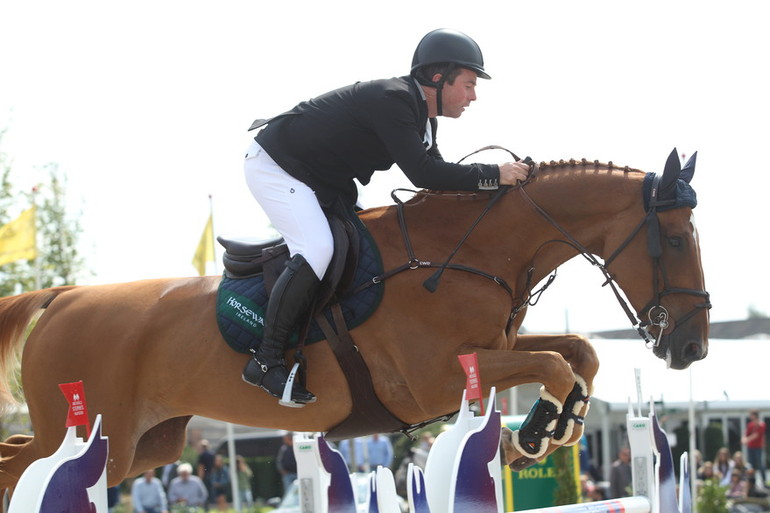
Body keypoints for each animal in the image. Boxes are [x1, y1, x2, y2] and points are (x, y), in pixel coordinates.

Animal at [0, 147, 708, 488]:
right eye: (675, 240)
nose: (692, 350)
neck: (469, 252)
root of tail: (61, 296)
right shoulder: (433, 382)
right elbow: (555, 361)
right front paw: (533, 435)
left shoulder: (492, 349)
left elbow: (577, 350)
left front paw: (548, 429)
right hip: (100, 437)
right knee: (20, 465)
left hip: (148, 444)